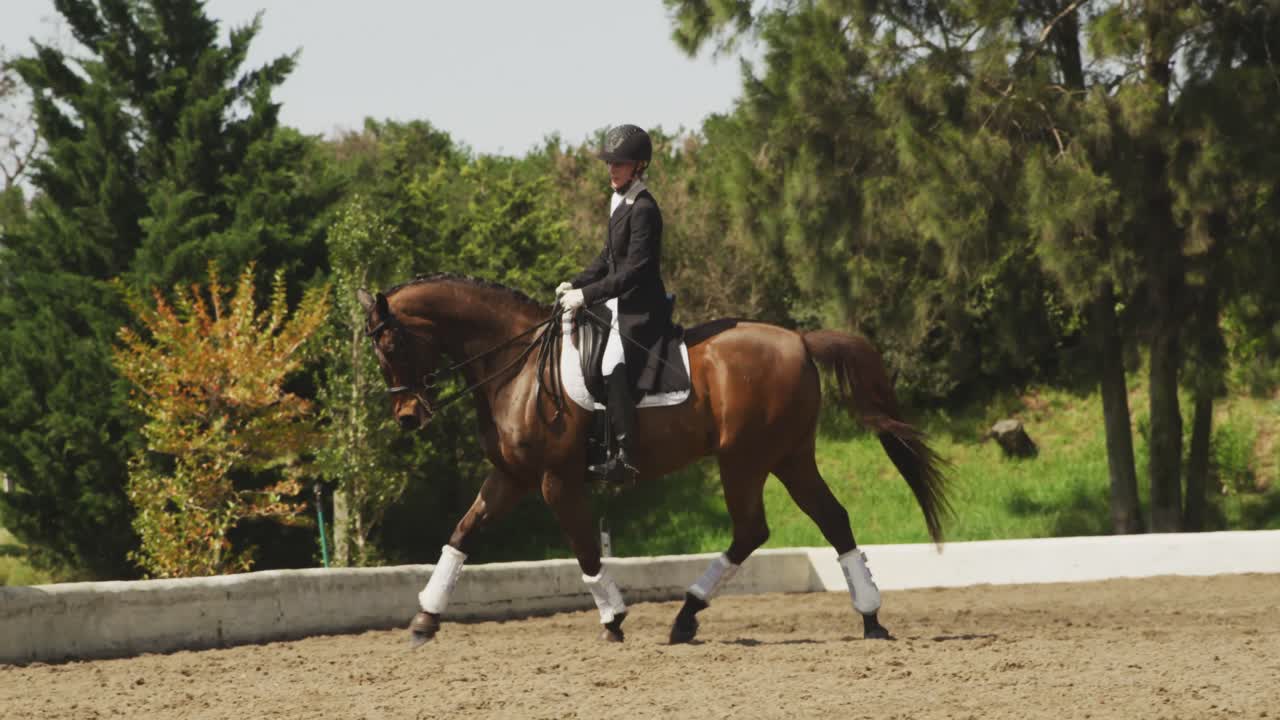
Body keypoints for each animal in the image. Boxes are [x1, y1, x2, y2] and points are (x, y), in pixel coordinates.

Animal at [357, 274, 951, 646]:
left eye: (390, 345)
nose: (408, 416)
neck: (516, 367)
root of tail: (800, 340)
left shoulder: (555, 480)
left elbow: (584, 549)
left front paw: (614, 617)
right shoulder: (511, 475)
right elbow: (462, 533)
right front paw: (424, 619)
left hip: (745, 458)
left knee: (753, 529)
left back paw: (689, 615)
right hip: (789, 456)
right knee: (830, 519)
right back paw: (868, 617)